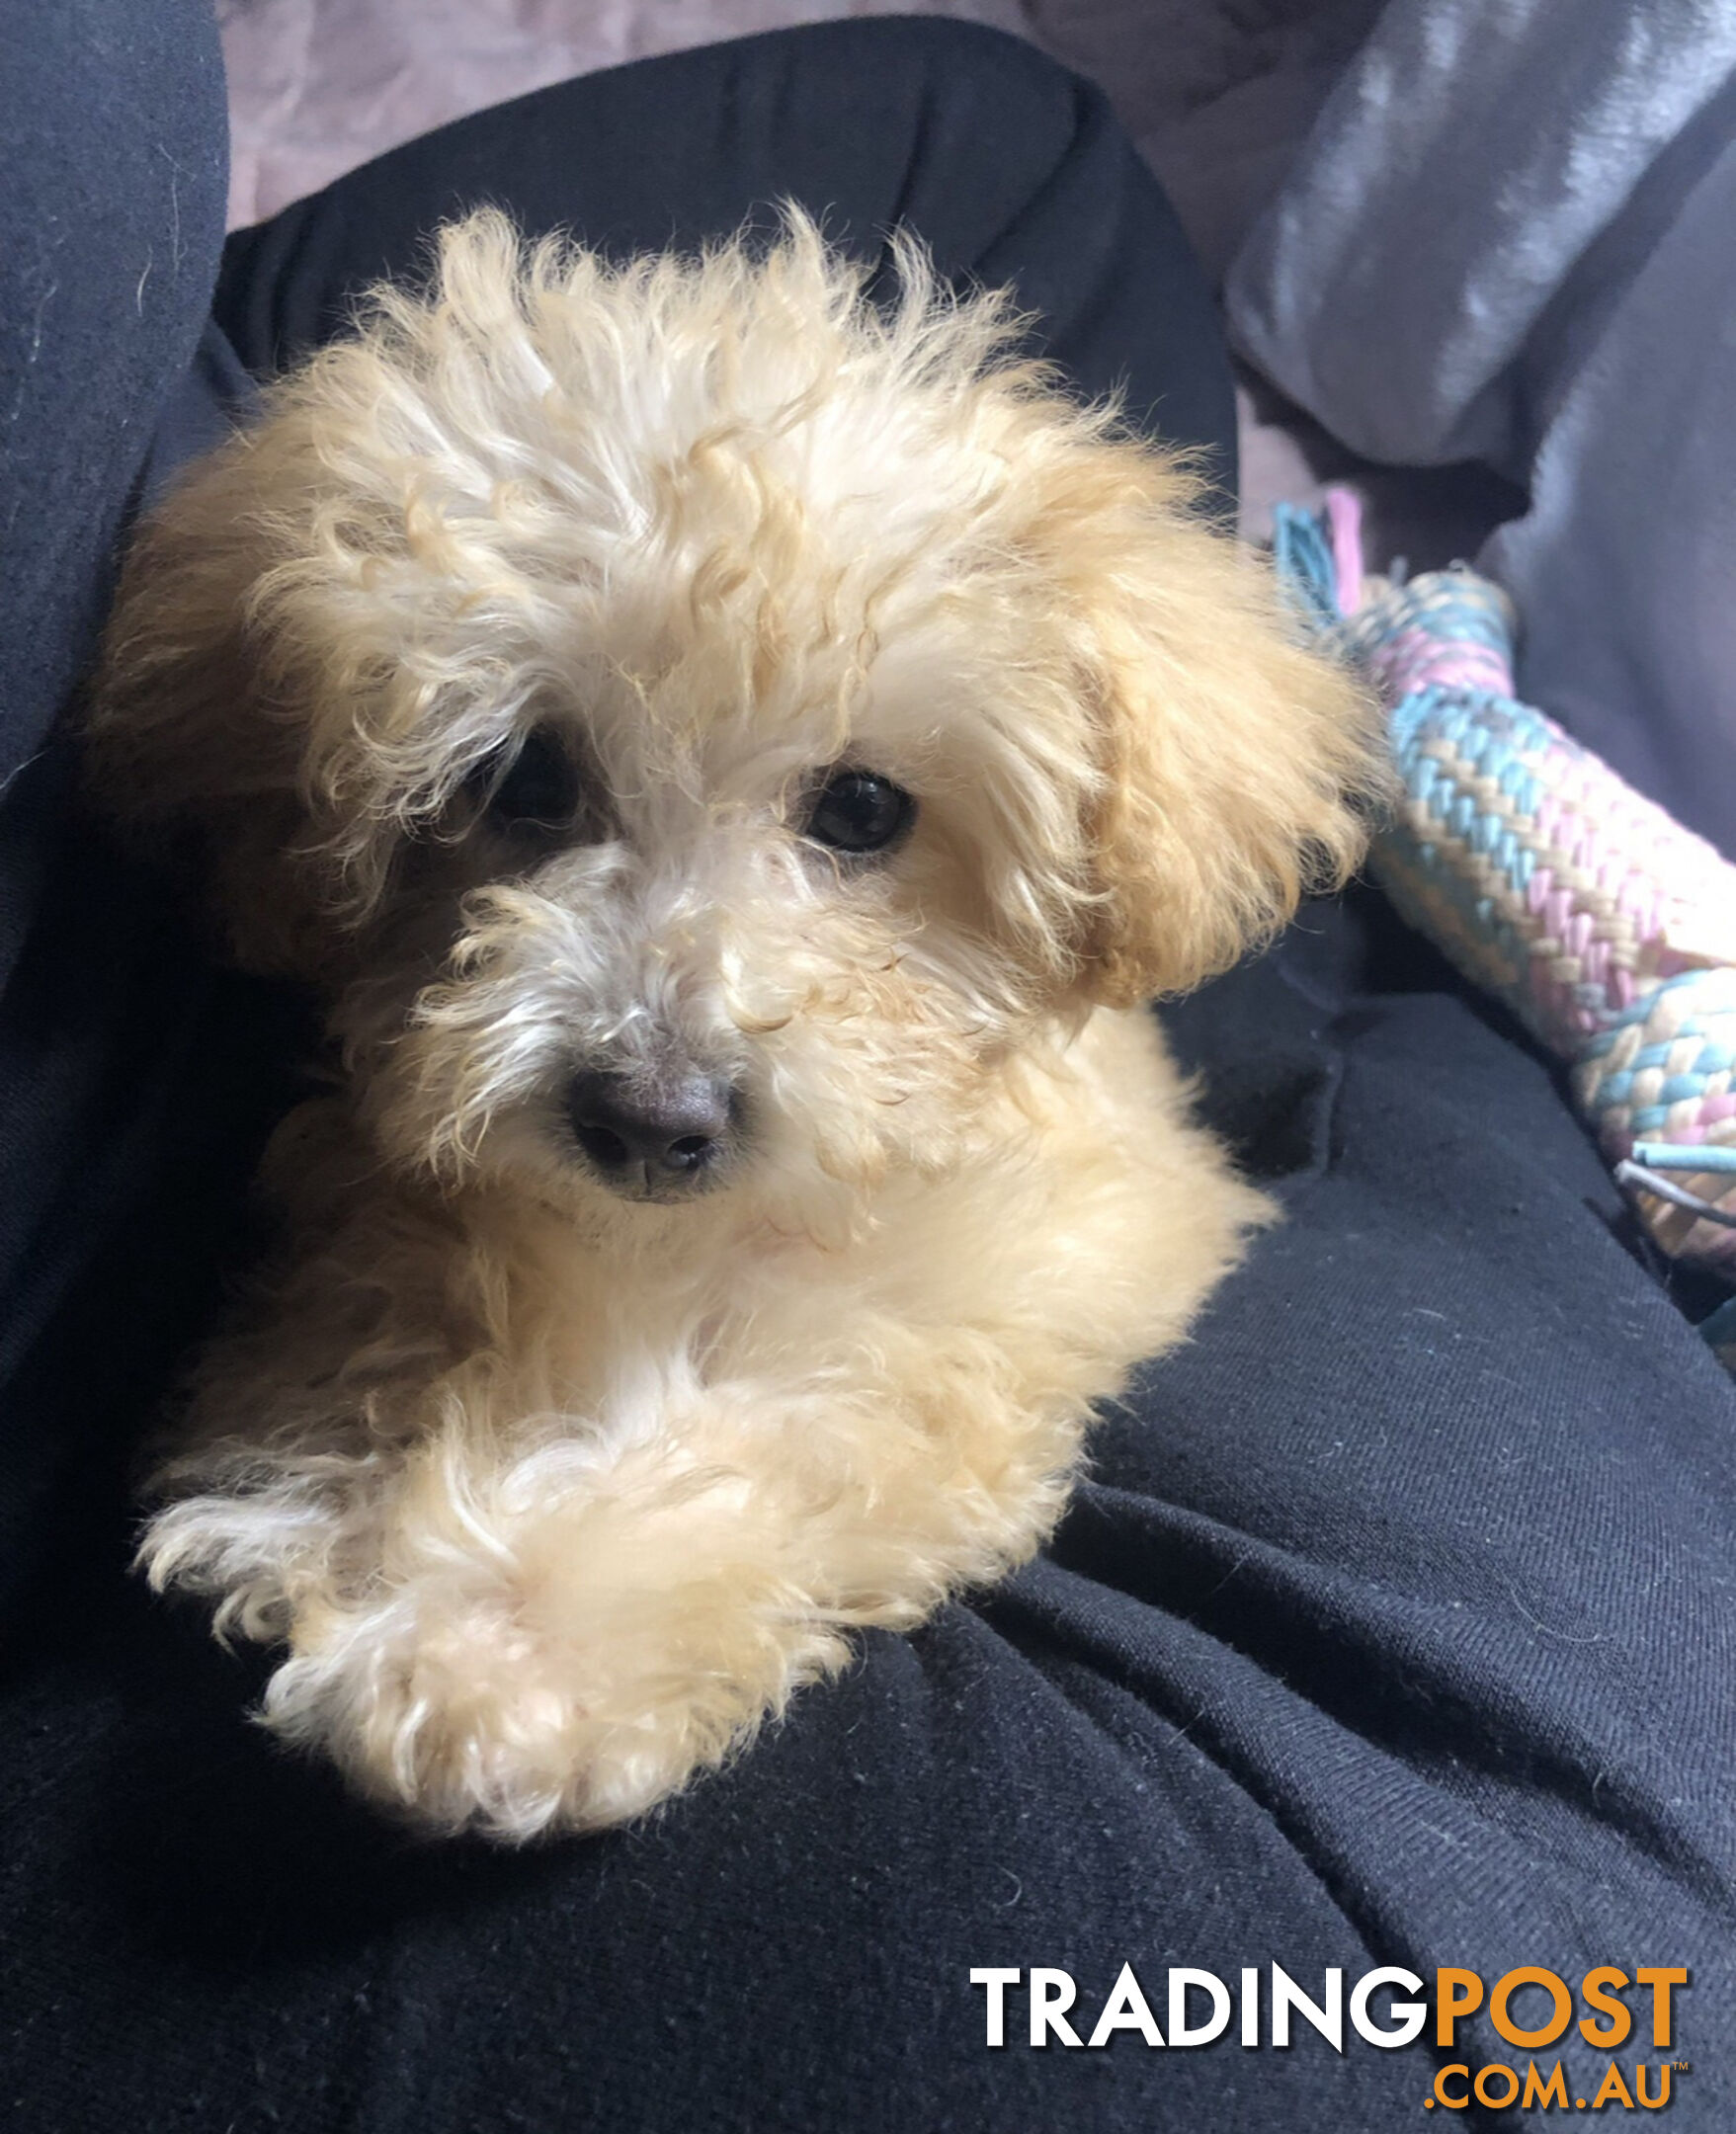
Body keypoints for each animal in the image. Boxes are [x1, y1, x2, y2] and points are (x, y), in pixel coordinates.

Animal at [84, 220, 1383, 1851]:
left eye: (865, 810)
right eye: (524, 778)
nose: (650, 1116)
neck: (677, 1249)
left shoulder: (981, 1307)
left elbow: (770, 1446)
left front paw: (501, 1647)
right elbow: (404, 1305)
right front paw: (333, 1496)